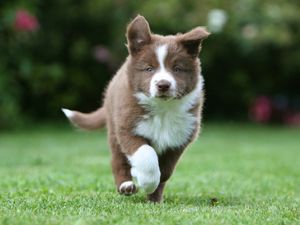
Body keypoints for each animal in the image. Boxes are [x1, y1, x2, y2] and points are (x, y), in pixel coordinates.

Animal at [62, 15, 210, 202]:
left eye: (177, 69)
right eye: (149, 69)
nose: (163, 85)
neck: (163, 109)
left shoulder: (181, 136)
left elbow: (166, 170)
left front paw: (153, 191)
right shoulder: (127, 127)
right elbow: (146, 153)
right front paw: (147, 180)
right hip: (114, 129)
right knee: (117, 160)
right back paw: (126, 185)